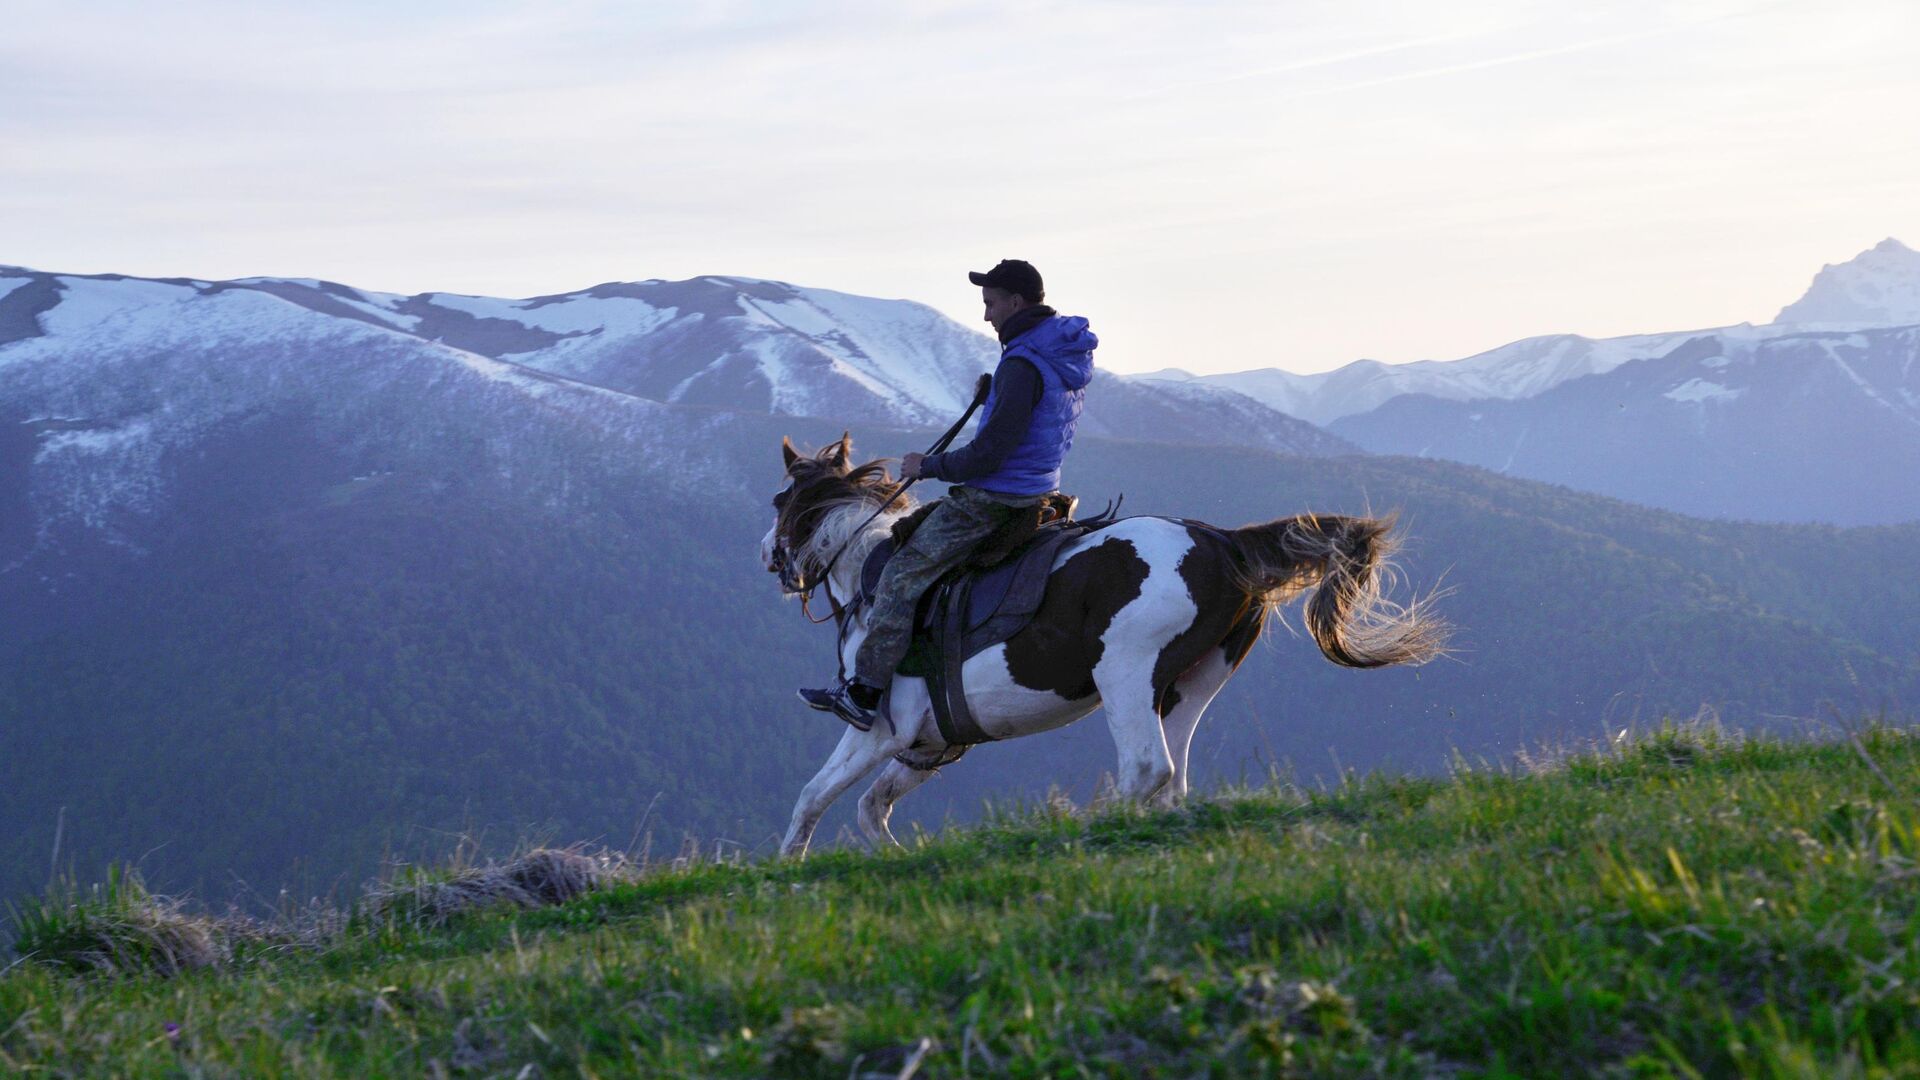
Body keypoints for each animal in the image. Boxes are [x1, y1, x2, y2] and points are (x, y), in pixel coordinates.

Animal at [760, 432, 1443, 853]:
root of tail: (1222, 542)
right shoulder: (930, 740)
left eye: (778, 498)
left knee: (1147, 766)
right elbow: (870, 807)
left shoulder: (881, 728)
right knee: (1173, 779)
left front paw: (788, 865)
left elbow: (814, 797)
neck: (870, 574)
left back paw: (1086, 829)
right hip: (1191, 685)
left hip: (1126, 676)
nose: (769, 554)